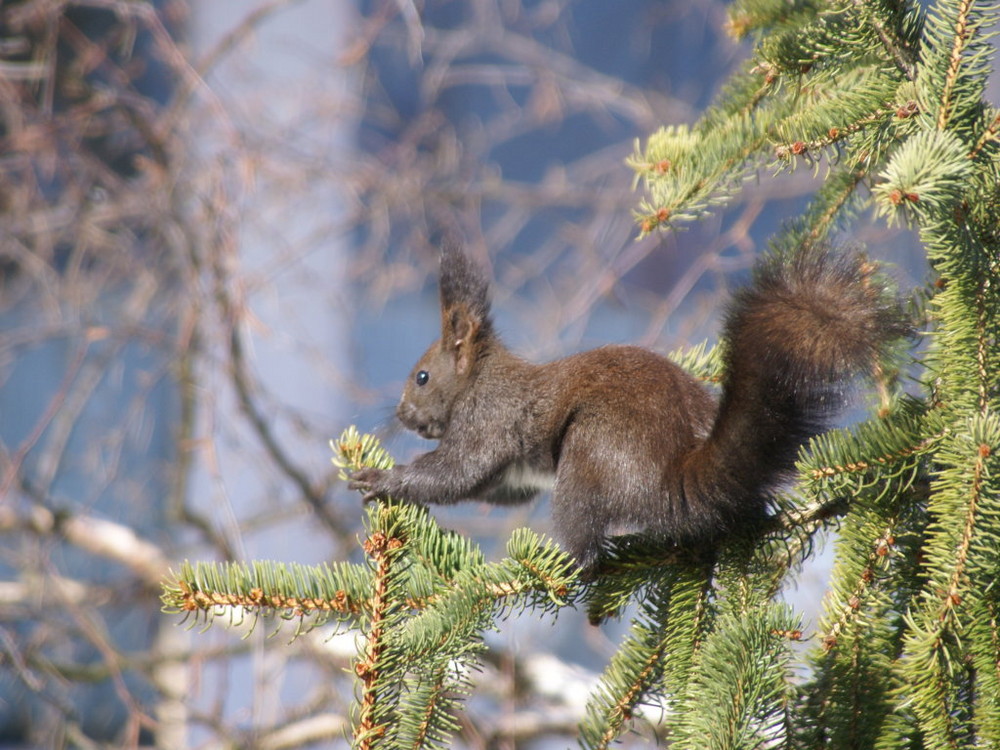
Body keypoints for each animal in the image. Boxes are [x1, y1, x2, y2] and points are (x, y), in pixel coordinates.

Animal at [350, 244, 908, 572]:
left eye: (422, 377)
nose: (401, 415)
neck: (477, 380)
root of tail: (676, 480)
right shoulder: (517, 471)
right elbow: (492, 488)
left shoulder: (487, 419)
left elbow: (455, 473)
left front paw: (382, 479)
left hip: (589, 459)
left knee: (587, 547)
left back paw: (561, 562)